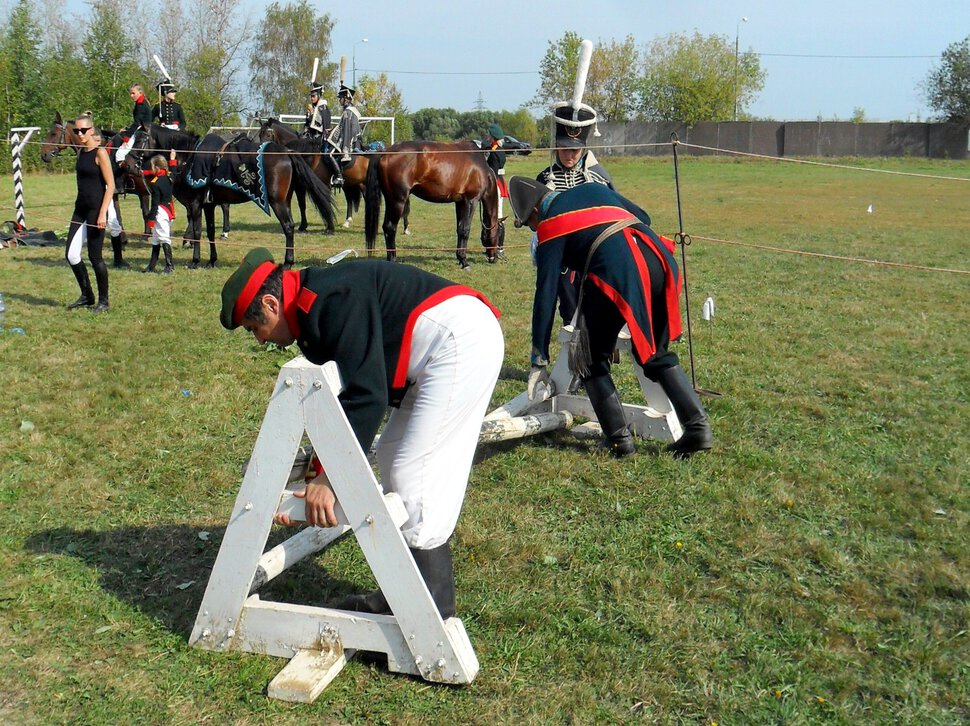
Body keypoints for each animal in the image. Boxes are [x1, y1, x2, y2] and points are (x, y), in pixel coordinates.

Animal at [125, 123, 336, 268]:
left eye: (141, 139)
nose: (127, 164)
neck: (189, 157)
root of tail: (287, 152)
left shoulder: (195, 204)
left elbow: (197, 231)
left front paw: (195, 260)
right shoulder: (208, 205)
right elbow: (210, 231)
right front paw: (211, 260)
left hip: (278, 203)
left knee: (288, 227)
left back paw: (287, 262)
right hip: (286, 200)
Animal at [362, 141, 500, 268]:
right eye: (500, 234)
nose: (494, 258)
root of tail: (385, 152)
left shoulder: (460, 202)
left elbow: (459, 228)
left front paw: (460, 258)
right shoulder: (471, 200)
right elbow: (465, 229)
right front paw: (465, 262)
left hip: (390, 200)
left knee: (386, 227)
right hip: (398, 201)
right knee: (390, 228)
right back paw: (393, 259)